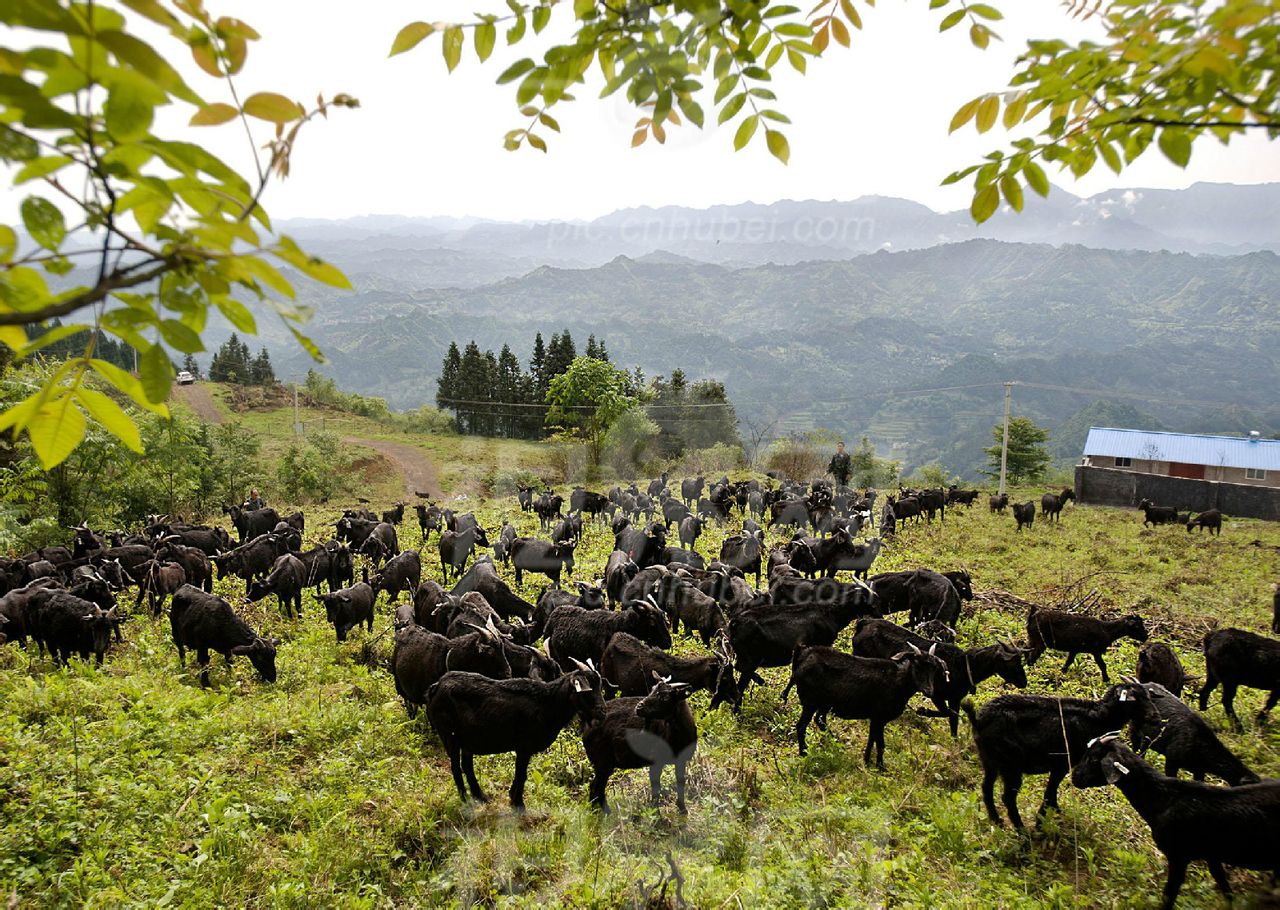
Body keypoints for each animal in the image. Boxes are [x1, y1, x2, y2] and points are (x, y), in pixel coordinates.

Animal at [424, 660, 604, 814]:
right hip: (448, 734)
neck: (547, 703)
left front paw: (512, 798)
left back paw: (481, 797)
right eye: (588, 691)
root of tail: (436, 687)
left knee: (467, 766)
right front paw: (518, 804)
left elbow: (520, 774)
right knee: (456, 767)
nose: (602, 712)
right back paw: (465, 800)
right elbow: (521, 774)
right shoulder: (524, 746)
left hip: (467, 739)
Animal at [962, 686, 1152, 834]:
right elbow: (1050, 790)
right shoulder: (1062, 764)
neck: (1098, 718)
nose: (1153, 715)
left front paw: (1054, 813)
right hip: (1010, 764)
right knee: (1007, 797)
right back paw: (1022, 831)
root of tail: (977, 720)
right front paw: (1042, 820)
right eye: (1136, 698)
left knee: (986, 787)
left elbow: (1051, 792)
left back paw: (997, 821)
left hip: (990, 760)